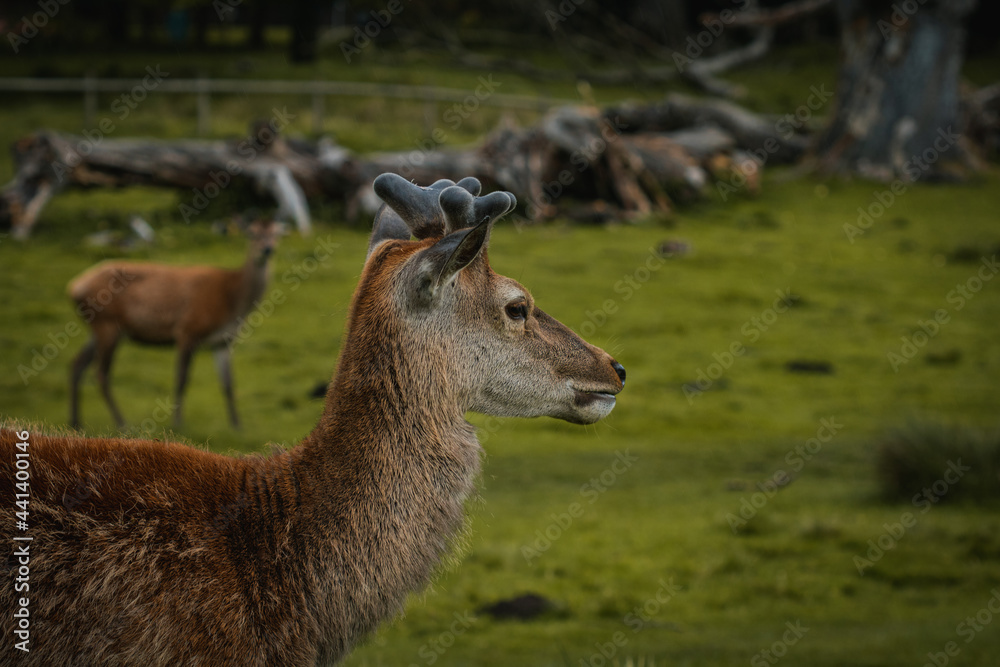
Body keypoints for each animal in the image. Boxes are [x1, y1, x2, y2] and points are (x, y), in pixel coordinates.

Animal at [67, 217, 280, 430]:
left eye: (276, 233)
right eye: (252, 233)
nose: (267, 249)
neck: (232, 303)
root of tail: (74, 287)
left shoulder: (223, 341)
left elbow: (228, 384)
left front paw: (237, 425)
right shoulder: (188, 330)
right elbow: (182, 379)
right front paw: (178, 422)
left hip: (98, 328)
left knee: (77, 363)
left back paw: (75, 421)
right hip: (108, 325)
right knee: (101, 373)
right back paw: (122, 423)